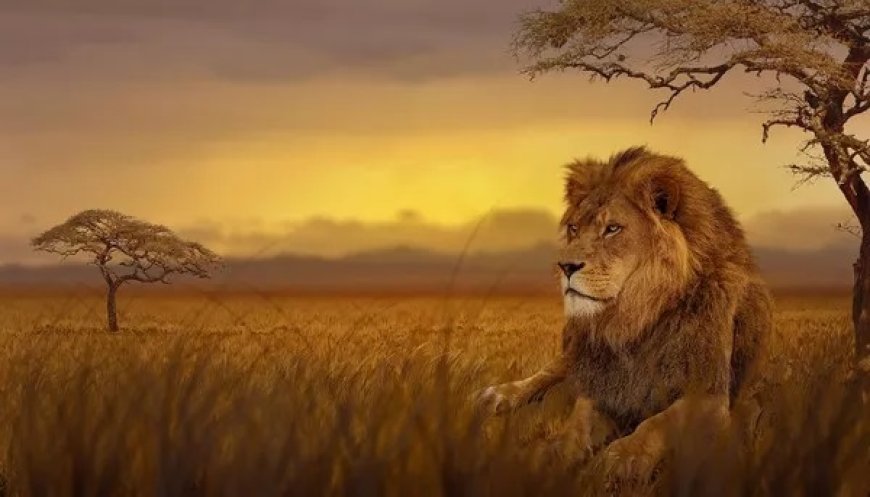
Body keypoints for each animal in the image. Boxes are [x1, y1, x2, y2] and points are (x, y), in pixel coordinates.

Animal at [477, 146, 772, 478]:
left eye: (612, 229)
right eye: (574, 228)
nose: (564, 266)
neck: (634, 319)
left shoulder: (710, 393)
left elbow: (659, 422)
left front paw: (623, 457)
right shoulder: (602, 378)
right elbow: (579, 420)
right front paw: (554, 450)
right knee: (550, 372)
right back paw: (500, 395)